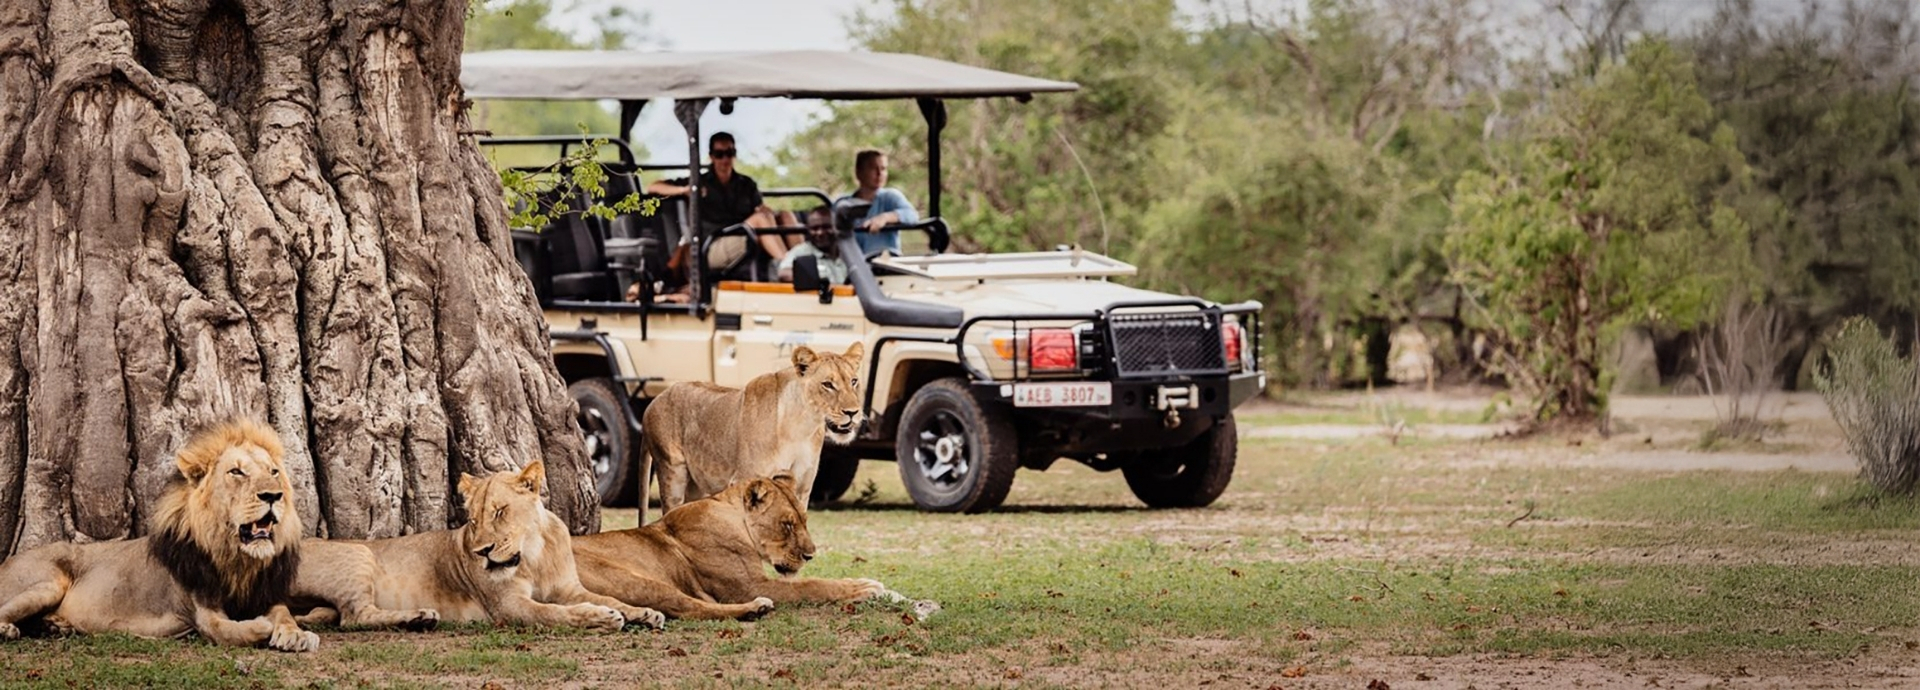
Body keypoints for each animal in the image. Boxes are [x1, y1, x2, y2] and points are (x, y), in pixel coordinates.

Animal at [0, 420, 317, 652]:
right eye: (236, 472)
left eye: (273, 472)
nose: (273, 495)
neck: (237, 560)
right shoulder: (201, 612)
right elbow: (227, 631)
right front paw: (262, 626)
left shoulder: (265, 592)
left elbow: (284, 612)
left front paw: (296, 633)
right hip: (48, 584)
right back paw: (10, 629)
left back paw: (55, 626)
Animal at [293, 461, 665, 632]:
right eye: (472, 520)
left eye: (500, 511)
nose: (482, 552)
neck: (534, 555)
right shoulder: (508, 606)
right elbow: (554, 613)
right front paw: (600, 617)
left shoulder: (569, 588)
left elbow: (609, 598)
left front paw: (644, 612)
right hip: (358, 553)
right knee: (355, 617)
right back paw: (418, 618)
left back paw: (420, 618)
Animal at [573, 474, 892, 620]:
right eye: (787, 525)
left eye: (804, 520)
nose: (810, 555)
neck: (734, 517)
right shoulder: (747, 585)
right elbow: (813, 585)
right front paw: (865, 587)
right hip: (637, 580)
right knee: (691, 608)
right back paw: (755, 608)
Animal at [640, 342, 865, 521]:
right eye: (827, 384)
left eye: (853, 381)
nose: (853, 412)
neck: (801, 426)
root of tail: (655, 400)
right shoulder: (745, 482)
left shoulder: (802, 487)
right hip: (672, 472)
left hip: (696, 485)